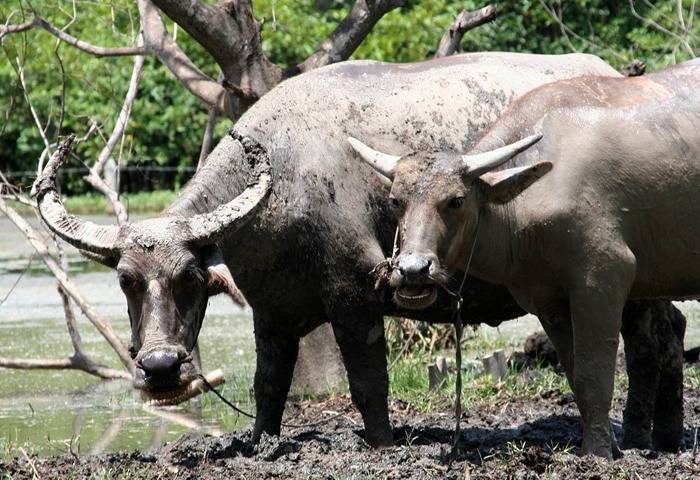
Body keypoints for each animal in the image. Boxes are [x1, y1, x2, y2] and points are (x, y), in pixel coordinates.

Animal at [350, 58, 700, 456]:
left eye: (456, 200)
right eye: (395, 201)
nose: (413, 270)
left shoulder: (603, 278)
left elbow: (595, 374)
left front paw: (595, 453)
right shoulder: (549, 303)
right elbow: (577, 378)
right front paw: (610, 445)